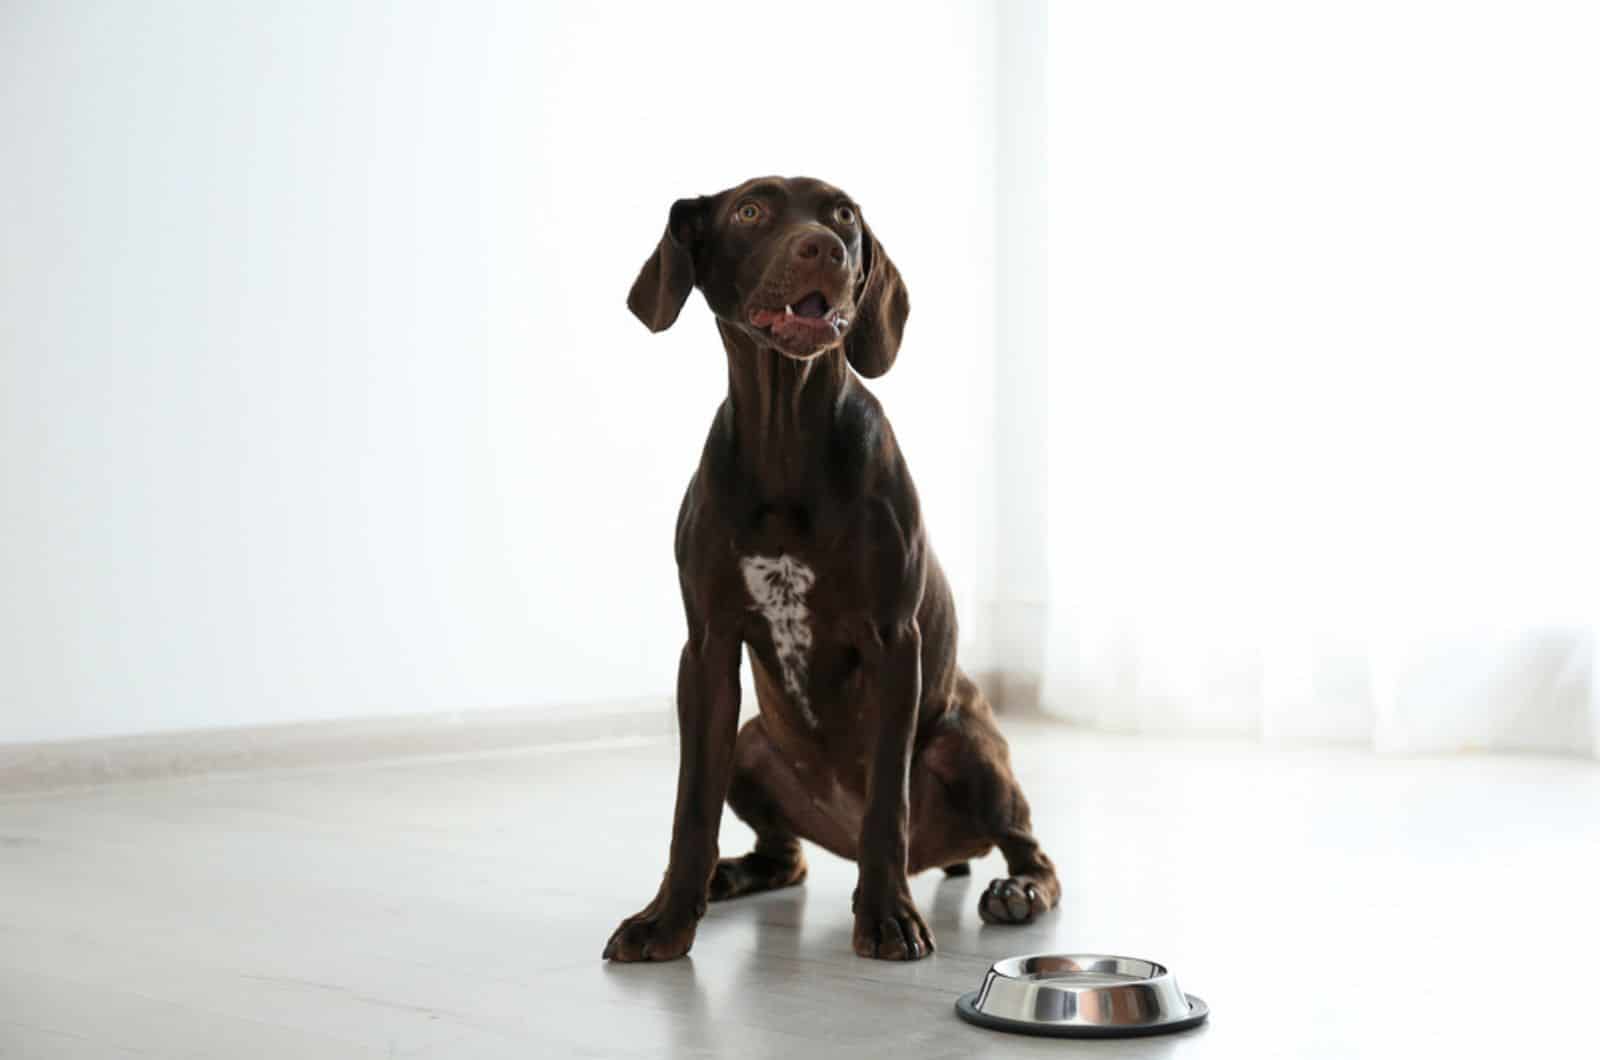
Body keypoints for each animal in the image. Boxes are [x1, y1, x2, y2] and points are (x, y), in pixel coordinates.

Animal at [604, 176, 1056, 960]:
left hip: (966, 745)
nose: (826, 248)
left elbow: (886, 808)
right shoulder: (707, 651)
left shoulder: (893, 642)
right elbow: (691, 811)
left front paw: (885, 916)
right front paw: (666, 919)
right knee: (785, 856)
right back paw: (729, 878)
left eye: (843, 213)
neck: (786, 435)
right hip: (751, 746)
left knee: (1029, 848)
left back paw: (1016, 891)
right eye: (750, 211)